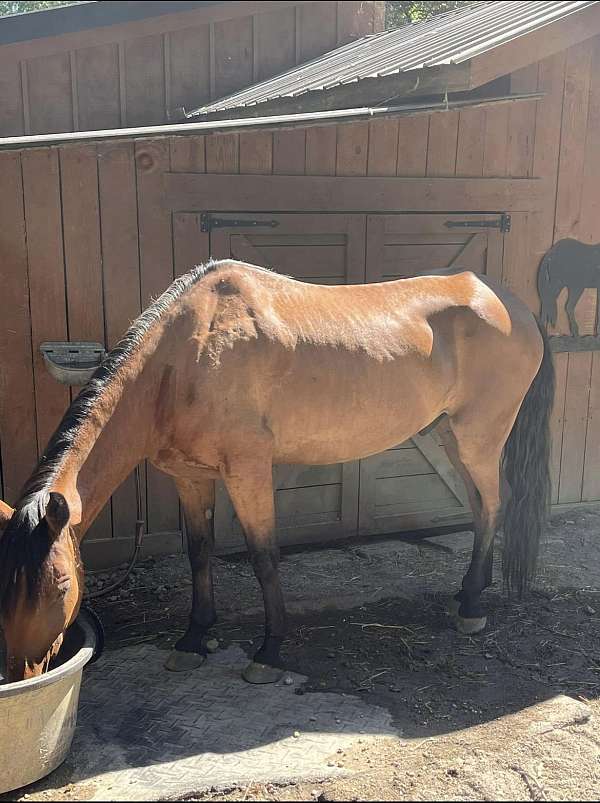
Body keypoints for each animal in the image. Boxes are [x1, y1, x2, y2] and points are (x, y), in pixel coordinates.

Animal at [0, 262, 552, 684]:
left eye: (61, 587)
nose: (21, 672)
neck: (185, 356)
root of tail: (512, 305)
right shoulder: (189, 476)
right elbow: (199, 553)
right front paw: (194, 638)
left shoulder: (248, 471)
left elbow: (264, 556)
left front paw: (269, 652)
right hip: (450, 435)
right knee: (481, 507)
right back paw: (467, 591)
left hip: (479, 436)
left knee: (495, 504)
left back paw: (472, 608)